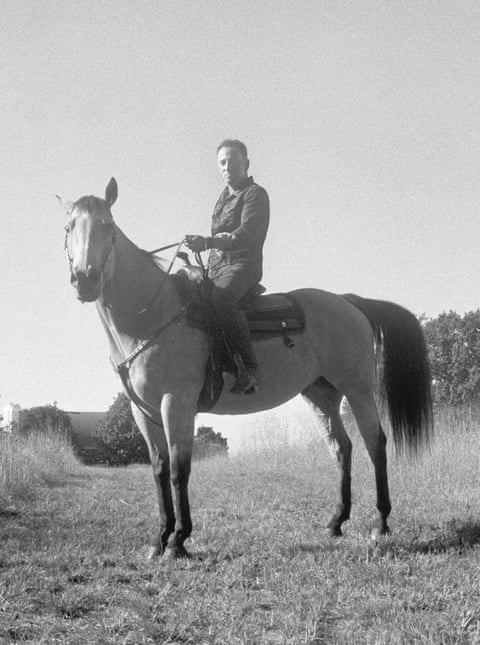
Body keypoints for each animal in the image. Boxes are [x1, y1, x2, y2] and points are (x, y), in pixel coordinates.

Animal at [58, 178, 433, 559]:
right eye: (69, 227)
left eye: (108, 226)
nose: (85, 279)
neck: (155, 317)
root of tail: (349, 302)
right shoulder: (143, 411)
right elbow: (160, 472)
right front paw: (159, 539)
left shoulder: (176, 404)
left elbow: (179, 471)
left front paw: (178, 540)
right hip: (321, 395)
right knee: (342, 448)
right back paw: (336, 523)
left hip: (358, 389)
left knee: (375, 443)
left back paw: (380, 524)